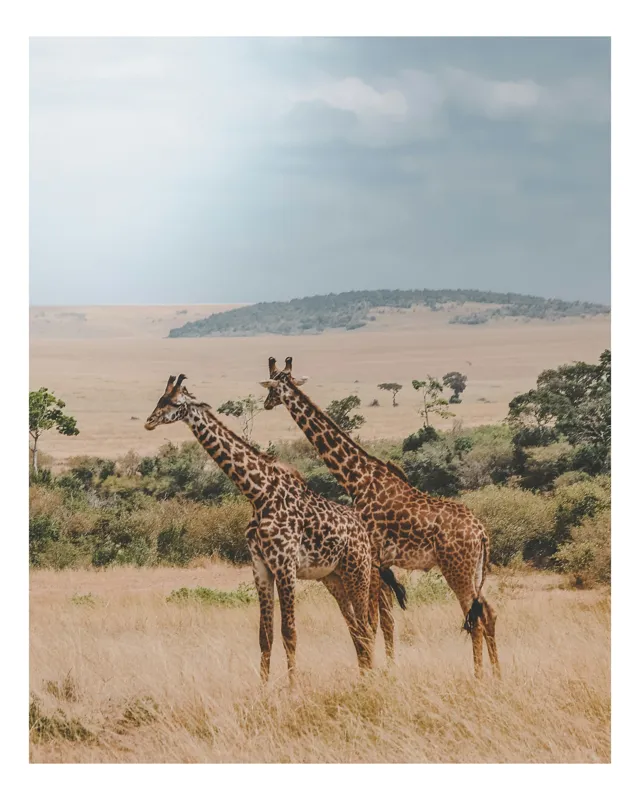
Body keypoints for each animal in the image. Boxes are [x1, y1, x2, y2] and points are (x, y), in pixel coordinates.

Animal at [144, 373, 383, 686]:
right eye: (159, 399)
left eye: (174, 402)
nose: (149, 421)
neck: (258, 493)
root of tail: (365, 534)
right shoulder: (260, 567)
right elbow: (265, 635)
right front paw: (263, 688)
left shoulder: (285, 565)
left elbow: (289, 632)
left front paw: (293, 688)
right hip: (334, 577)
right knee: (356, 628)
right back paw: (363, 677)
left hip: (358, 570)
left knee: (366, 626)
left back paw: (369, 680)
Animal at [260, 358, 501, 679]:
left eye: (273, 386)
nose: (265, 404)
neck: (357, 477)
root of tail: (482, 534)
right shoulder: (382, 563)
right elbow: (385, 620)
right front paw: (387, 669)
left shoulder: (371, 558)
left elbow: (372, 622)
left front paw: (374, 672)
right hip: (473, 571)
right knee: (488, 612)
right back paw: (497, 674)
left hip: (457, 570)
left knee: (473, 618)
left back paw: (478, 676)